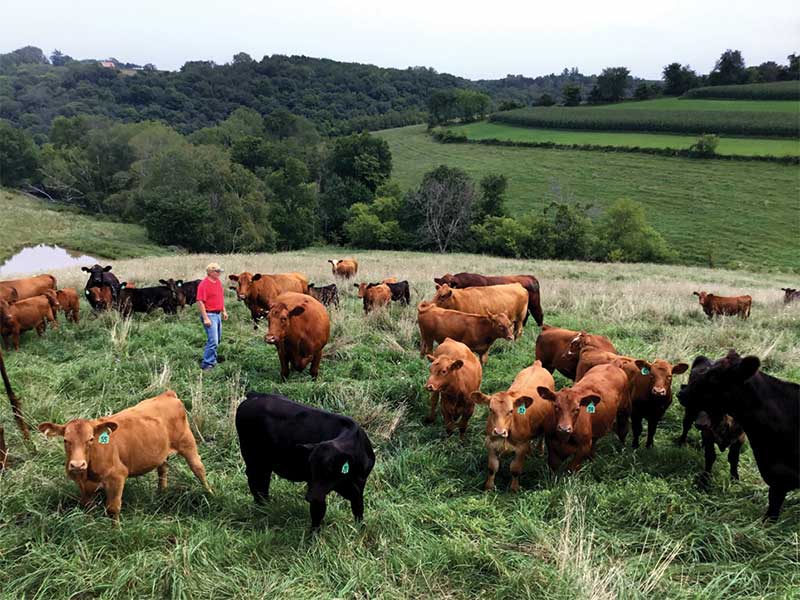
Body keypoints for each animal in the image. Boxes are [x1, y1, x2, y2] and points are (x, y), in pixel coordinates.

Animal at [37, 392, 212, 524]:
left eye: (91, 439)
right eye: (66, 440)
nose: (77, 465)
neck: (88, 473)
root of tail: (167, 394)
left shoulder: (117, 477)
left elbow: (113, 508)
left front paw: (116, 531)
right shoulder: (83, 486)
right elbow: (88, 506)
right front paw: (90, 524)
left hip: (188, 444)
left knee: (199, 469)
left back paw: (210, 494)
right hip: (161, 453)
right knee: (162, 470)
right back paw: (161, 493)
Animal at [236, 394, 376, 528]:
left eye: (330, 469)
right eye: (311, 468)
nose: (309, 497)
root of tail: (255, 395)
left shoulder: (358, 486)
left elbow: (358, 509)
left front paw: (359, 529)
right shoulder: (315, 488)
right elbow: (318, 513)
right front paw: (313, 535)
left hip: (265, 463)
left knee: (263, 482)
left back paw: (265, 506)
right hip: (252, 458)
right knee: (255, 481)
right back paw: (262, 508)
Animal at [468, 360, 556, 492]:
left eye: (510, 411)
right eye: (490, 409)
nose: (499, 432)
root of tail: (537, 365)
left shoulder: (520, 447)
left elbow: (515, 469)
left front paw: (514, 488)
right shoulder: (490, 443)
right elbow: (492, 467)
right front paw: (489, 487)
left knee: (541, 436)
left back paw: (539, 450)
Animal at [676, 352, 800, 520]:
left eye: (714, 377)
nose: (681, 393)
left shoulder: (778, 478)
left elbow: (733, 459)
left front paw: (734, 479)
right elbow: (710, 457)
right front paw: (705, 480)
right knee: (686, 426)